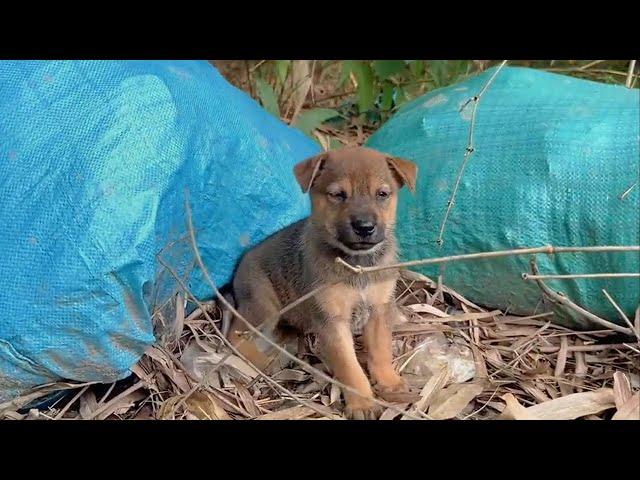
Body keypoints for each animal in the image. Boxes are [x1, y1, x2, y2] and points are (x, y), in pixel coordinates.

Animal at [228, 146, 418, 420]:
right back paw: (265, 362)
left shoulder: (379, 310)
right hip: (263, 306)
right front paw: (362, 403)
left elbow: (381, 351)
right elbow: (349, 367)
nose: (365, 227)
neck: (356, 264)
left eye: (382, 194)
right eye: (338, 195)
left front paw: (389, 383)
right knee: (234, 336)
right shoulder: (332, 322)